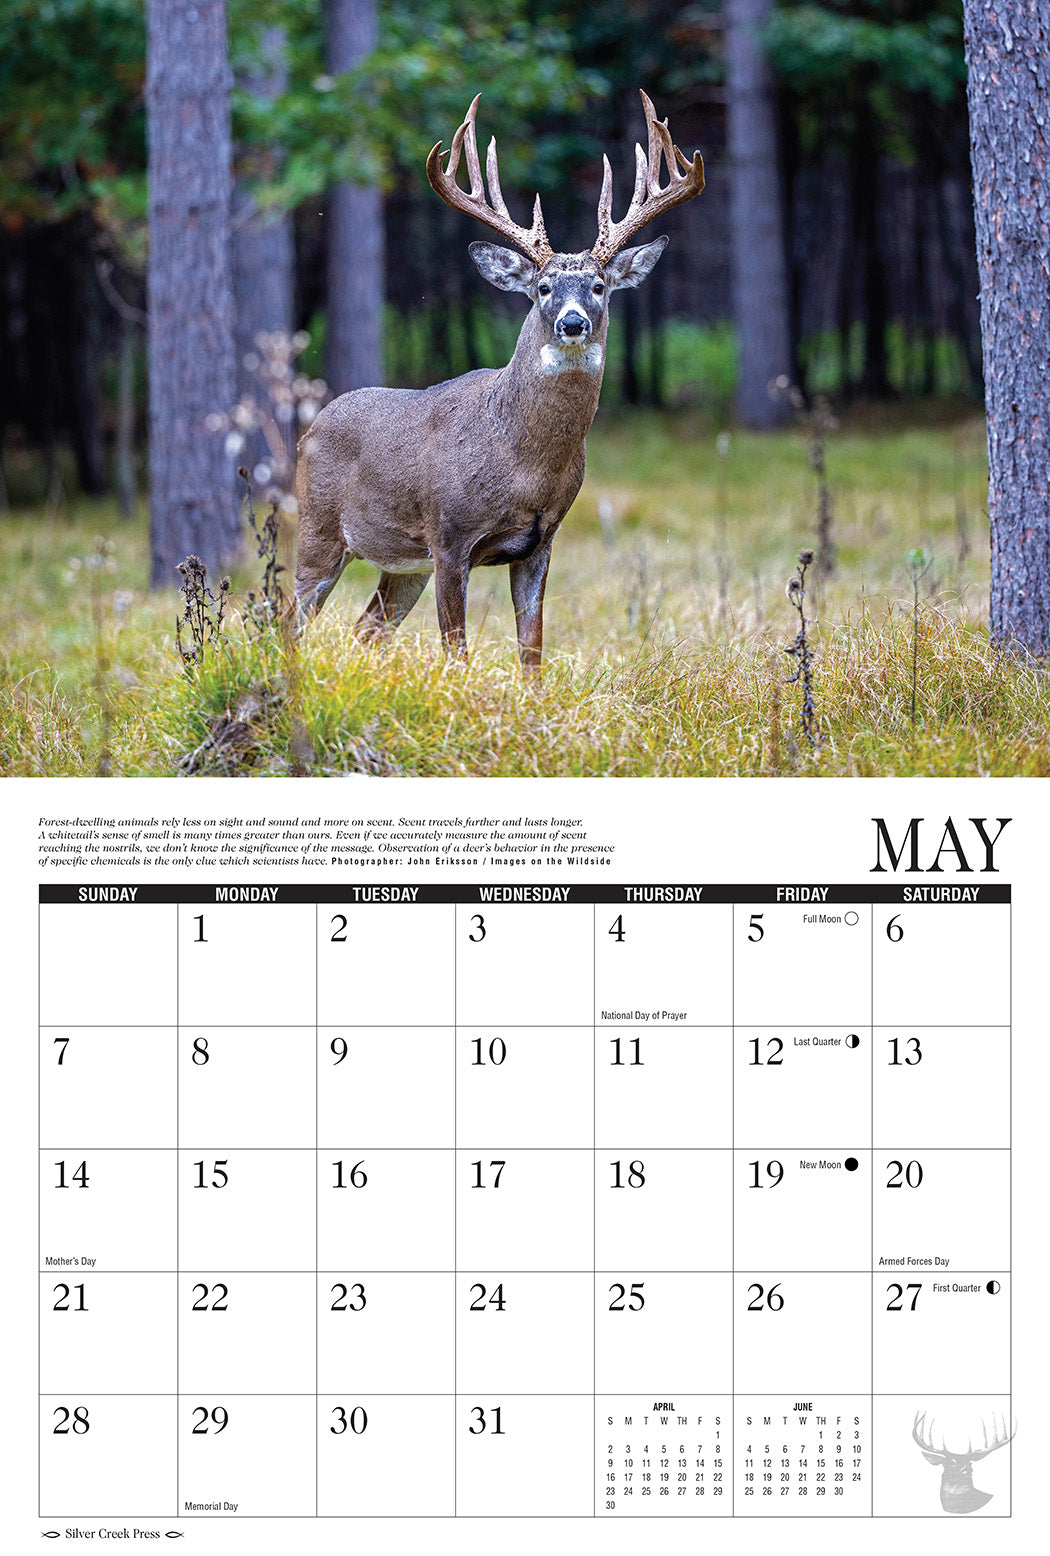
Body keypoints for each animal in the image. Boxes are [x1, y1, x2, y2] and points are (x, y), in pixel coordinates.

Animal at [294, 91, 704, 675]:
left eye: (599, 286)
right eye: (543, 287)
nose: (572, 323)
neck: (523, 462)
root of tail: (310, 427)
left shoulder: (541, 540)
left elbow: (532, 652)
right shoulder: (448, 537)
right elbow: (456, 651)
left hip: (402, 565)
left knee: (365, 630)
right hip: (320, 527)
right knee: (282, 619)